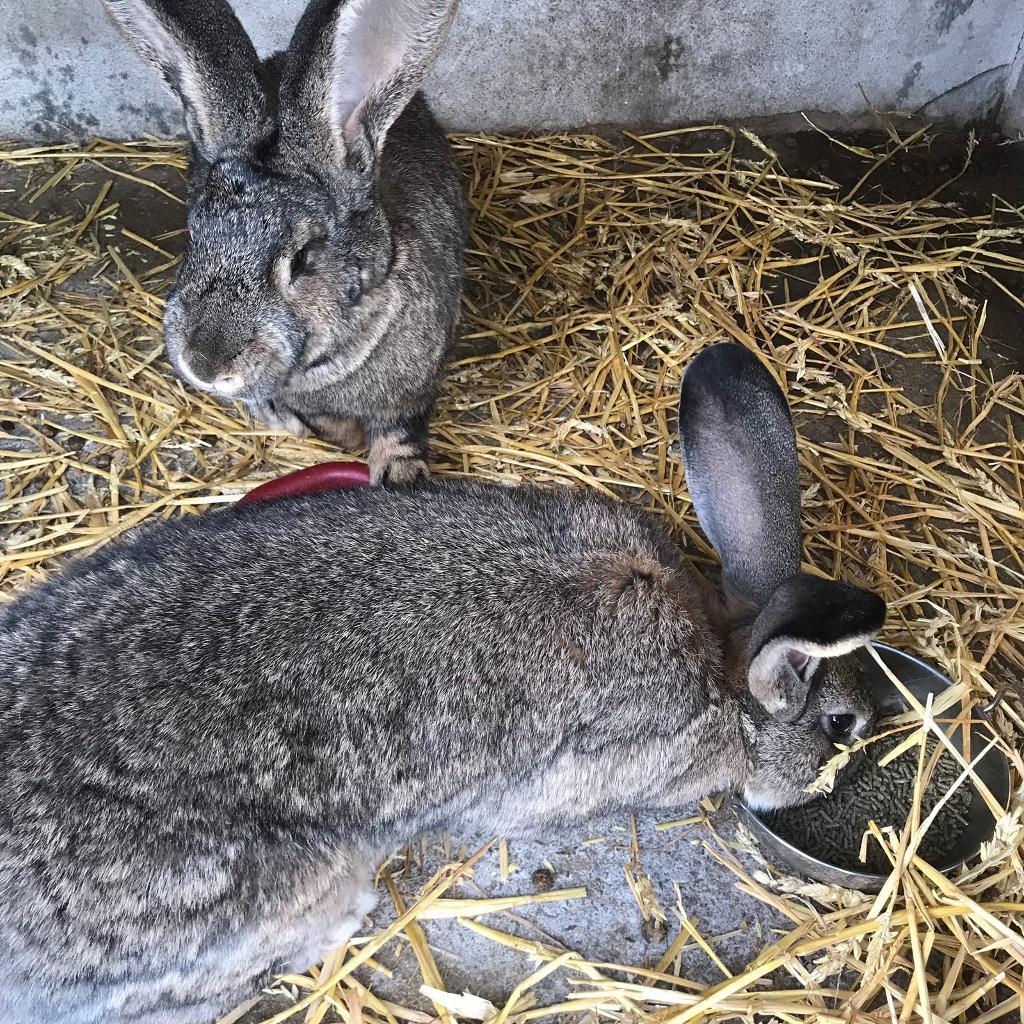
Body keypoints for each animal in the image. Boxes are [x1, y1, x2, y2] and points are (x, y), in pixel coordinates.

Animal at [102, 0, 467, 485]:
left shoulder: (411, 391)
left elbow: (399, 432)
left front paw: (400, 475)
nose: (205, 364)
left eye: (302, 259)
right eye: (194, 234)